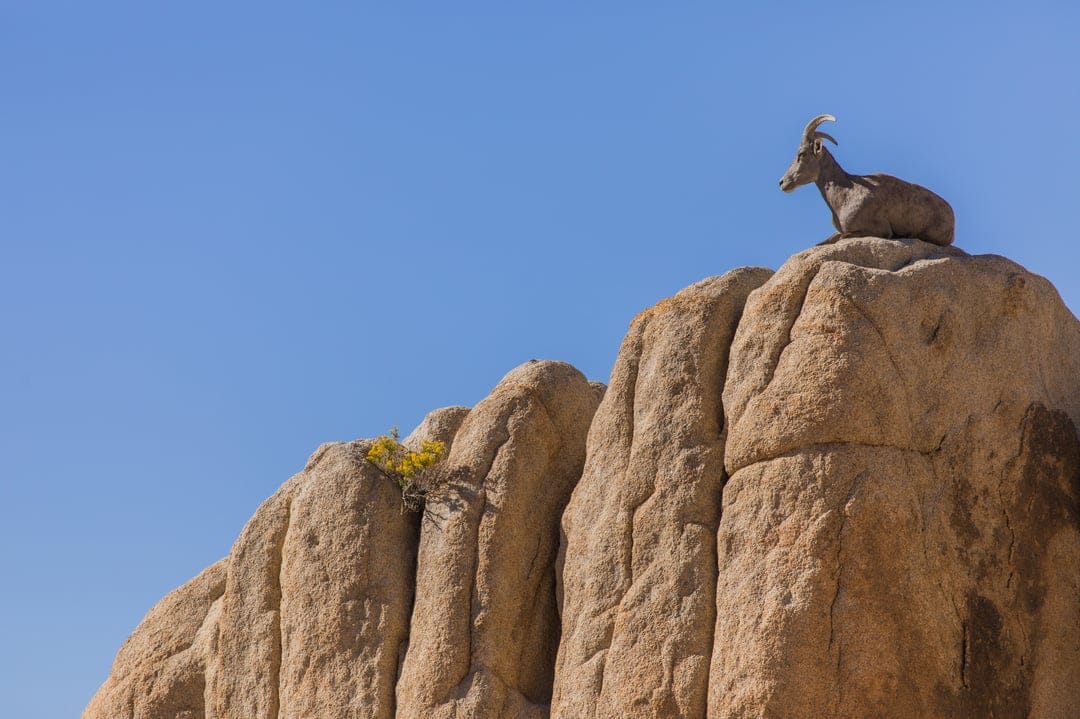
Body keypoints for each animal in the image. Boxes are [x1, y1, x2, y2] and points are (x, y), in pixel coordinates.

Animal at [778, 114, 955, 246]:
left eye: (802, 154)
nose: (782, 182)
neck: (844, 195)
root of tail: (952, 218)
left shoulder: (879, 231)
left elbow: (842, 237)